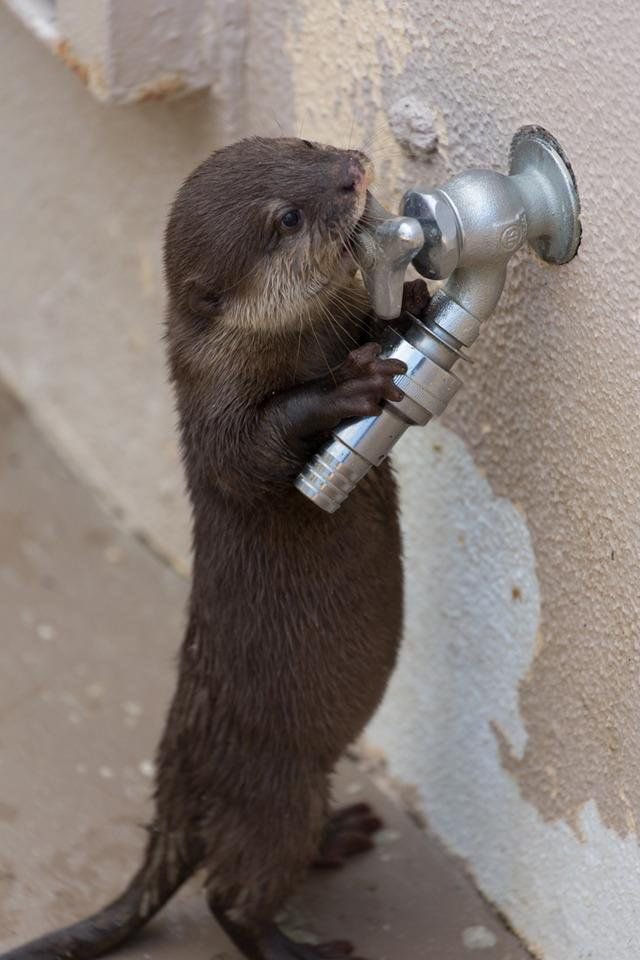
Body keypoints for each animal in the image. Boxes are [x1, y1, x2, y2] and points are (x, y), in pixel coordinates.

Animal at [2, 137, 430, 960]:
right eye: (287, 217)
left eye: (302, 146)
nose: (353, 167)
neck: (267, 350)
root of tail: (179, 795)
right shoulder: (215, 416)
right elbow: (256, 453)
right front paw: (348, 387)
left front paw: (417, 304)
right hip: (276, 792)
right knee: (232, 896)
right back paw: (302, 945)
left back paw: (341, 834)